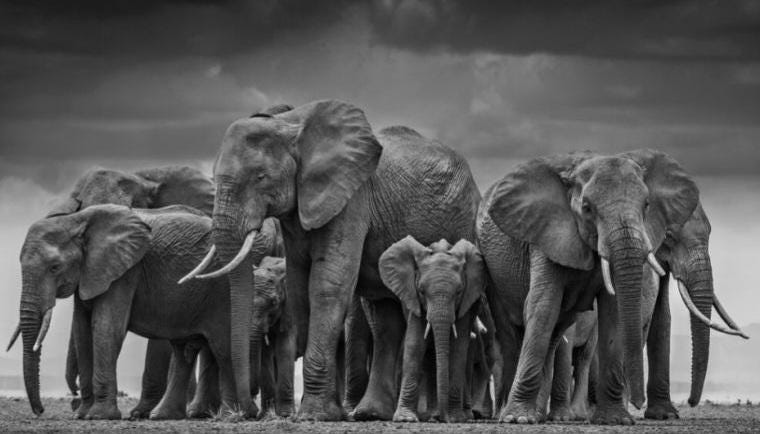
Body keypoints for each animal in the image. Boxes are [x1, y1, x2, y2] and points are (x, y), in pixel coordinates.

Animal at [15, 203, 279, 419]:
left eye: (54, 267)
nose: (40, 410)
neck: (76, 220)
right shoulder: (90, 272)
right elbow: (82, 332)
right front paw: (82, 415)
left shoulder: (125, 272)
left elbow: (106, 328)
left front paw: (99, 416)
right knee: (183, 350)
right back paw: (164, 416)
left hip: (221, 291)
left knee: (222, 348)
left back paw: (233, 415)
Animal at [378, 237, 485, 422]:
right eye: (421, 290)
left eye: (458, 292)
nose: (444, 418)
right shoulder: (413, 298)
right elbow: (415, 345)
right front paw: (406, 419)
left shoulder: (466, 301)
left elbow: (458, 347)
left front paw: (455, 419)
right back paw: (433, 415)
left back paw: (453, 415)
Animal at [477, 149, 701, 425]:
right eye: (586, 208)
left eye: (647, 205)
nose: (638, 403)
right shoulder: (545, 233)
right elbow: (543, 306)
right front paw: (517, 420)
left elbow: (613, 313)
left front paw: (615, 420)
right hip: (493, 275)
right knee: (512, 334)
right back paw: (510, 413)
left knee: (556, 333)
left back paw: (539, 414)